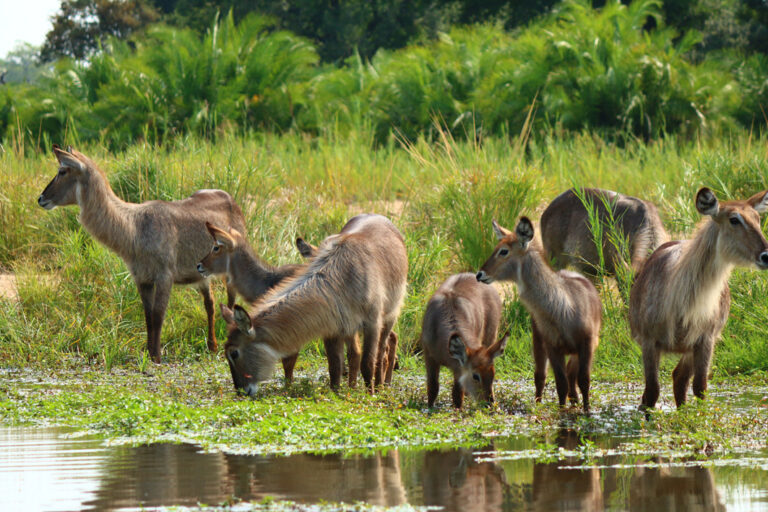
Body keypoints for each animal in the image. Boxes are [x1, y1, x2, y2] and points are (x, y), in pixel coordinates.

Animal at [36, 145, 246, 360]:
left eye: (62, 171)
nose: (41, 199)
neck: (134, 227)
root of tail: (230, 198)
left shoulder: (164, 276)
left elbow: (158, 315)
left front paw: (157, 357)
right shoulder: (142, 278)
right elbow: (148, 316)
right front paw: (148, 353)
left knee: (230, 301)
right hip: (201, 275)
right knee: (210, 303)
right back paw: (212, 346)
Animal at [219, 214, 408, 394]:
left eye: (234, 353)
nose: (241, 392)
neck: (341, 278)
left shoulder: (372, 324)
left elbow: (368, 363)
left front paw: (371, 395)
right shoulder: (333, 329)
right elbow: (335, 365)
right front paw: (336, 393)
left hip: (389, 317)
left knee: (381, 352)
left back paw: (381, 387)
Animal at [416, 272, 508, 408]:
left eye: (493, 373)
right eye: (476, 376)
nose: (489, 403)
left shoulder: (458, 367)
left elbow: (457, 394)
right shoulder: (429, 356)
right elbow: (433, 387)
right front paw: (430, 407)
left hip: (491, 337)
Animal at [476, 217, 604, 412]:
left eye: (503, 251)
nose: (479, 274)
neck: (563, 308)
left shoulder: (587, 344)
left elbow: (584, 381)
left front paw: (587, 411)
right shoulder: (553, 346)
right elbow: (560, 383)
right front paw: (562, 411)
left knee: (571, 375)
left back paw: (574, 402)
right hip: (538, 341)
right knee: (541, 376)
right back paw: (539, 405)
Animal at [632, 187, 768, 408]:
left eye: (757, 218)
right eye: (734, 219)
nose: (766, 255)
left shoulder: (705, 339)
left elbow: (701, 387)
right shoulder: (649, 341)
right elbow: (651, 393)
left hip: (692, 348)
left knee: (680, 378)